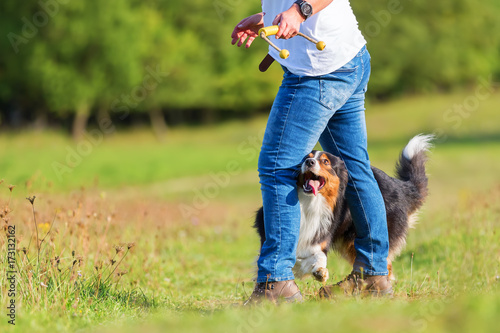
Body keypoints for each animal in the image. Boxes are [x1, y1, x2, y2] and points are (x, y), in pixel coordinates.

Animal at [256, 134, 432, 282]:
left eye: (326, 162)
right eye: (306, 158)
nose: (309, 163)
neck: (309, 202)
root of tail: (401, 187)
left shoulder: (320, 234)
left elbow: (319, 256)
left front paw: (318, 271)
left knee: (384, 265)